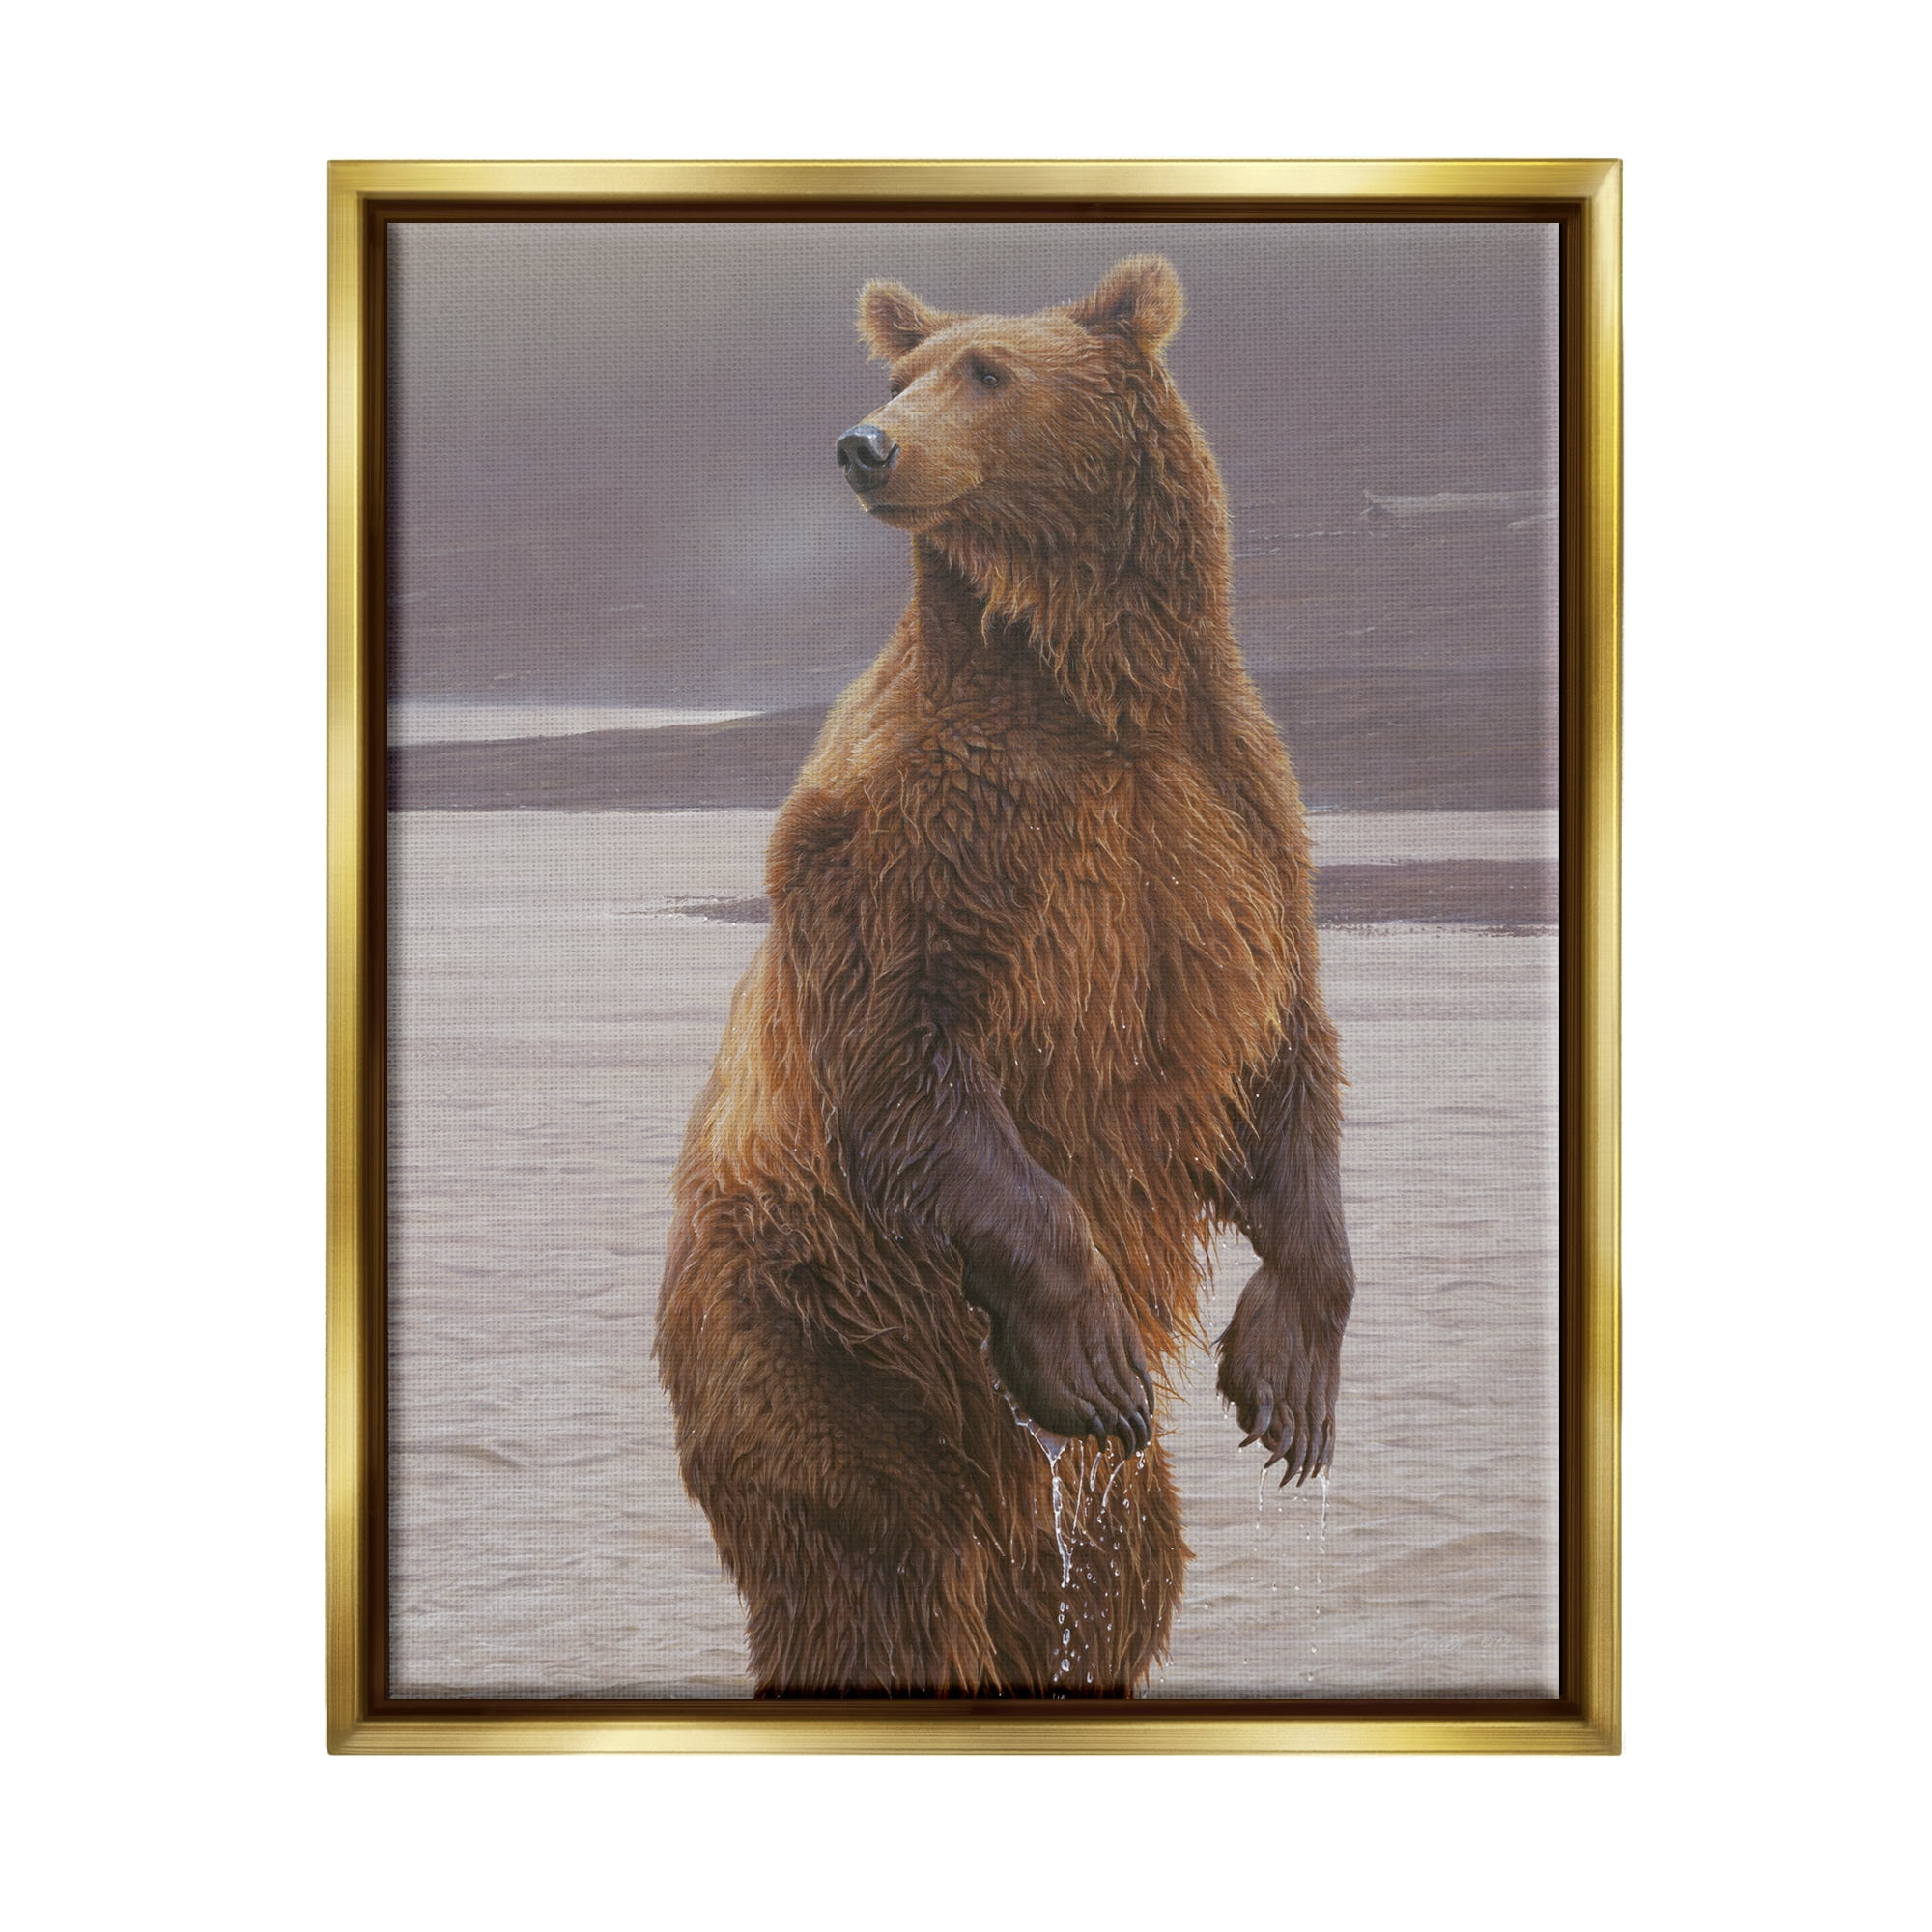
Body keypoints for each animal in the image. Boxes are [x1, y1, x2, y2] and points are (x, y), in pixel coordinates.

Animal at [655, 256, 1355, 1698]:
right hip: (819, 1344)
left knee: (1120, 1570)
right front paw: (1089, 1346)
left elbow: (1282, 1048)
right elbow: (907, 1055)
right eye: (900, 374)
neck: (1088, 685)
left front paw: (1290, 1378)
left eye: (987, 371)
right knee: (869, 1582)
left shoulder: (1236, 824)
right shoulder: (918, 832)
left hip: (1063, 1483)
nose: (864, 444)